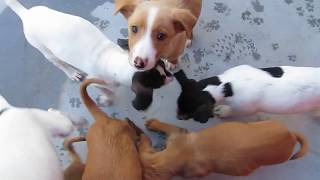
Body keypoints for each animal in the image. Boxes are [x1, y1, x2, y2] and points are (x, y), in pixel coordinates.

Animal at [5, 0, 172, 106]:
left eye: (163, 65)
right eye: (158, 80)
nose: (171, 76)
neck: (114, 60)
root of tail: (26, 14)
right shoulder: (95, 83)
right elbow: (109, 92)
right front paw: (107, 99)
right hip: (45, 51)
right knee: (59, 63)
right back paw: (72, 73)